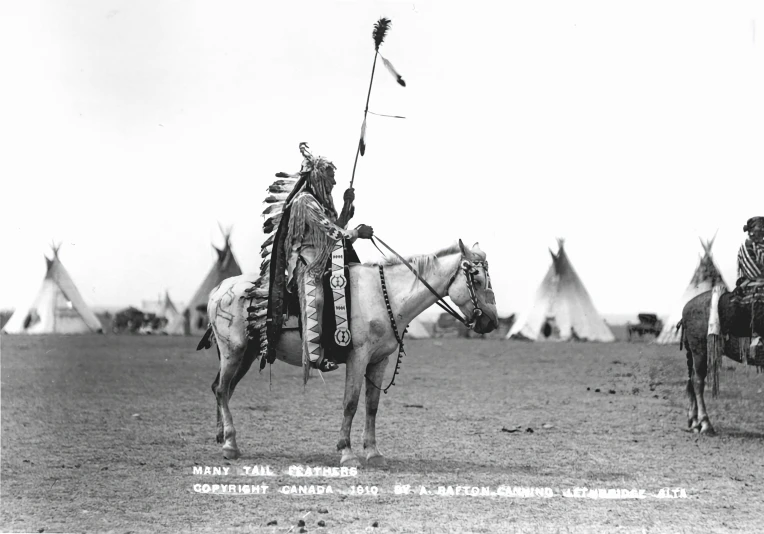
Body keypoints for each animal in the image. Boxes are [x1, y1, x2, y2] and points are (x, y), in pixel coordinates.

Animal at [203, 241, 498, 466]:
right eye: (477, 279)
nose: (492, 323)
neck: (384, 296)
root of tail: (220, 289)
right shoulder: (358, 358)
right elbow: (351, 403)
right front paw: (347, 452)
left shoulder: (379, 361)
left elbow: (372, 406)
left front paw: (373, 453)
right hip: (233, 351)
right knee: (221, 390)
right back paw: (230, 444)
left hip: (246, 355)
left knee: (223, 389)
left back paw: (222, 438)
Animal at [680, 288, 764, 436]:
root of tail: (687, 307)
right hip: (701, 351)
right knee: (697, 382)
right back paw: (705, 424)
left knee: (691, 380)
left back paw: (695, 422)